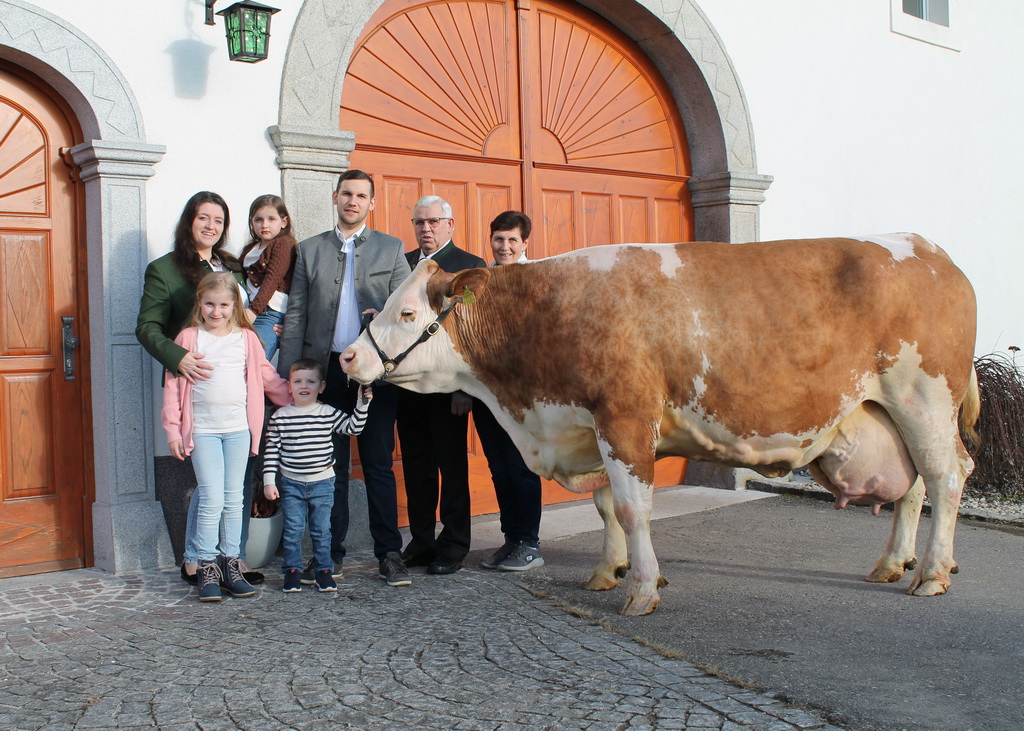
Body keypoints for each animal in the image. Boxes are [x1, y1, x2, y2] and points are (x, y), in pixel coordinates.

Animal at [339, 233, 978, 610]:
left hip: (924, 395)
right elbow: (605, 507)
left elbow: (631, 507)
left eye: (407, 312)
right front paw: (608, 569)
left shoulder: (624, 417)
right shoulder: (590, 427)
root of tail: (930, 249)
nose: (346, 357)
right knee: (916, 485)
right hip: (893, 413)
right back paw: (894, 563)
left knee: (947, 477)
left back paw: (931, 574)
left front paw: (641, 589)